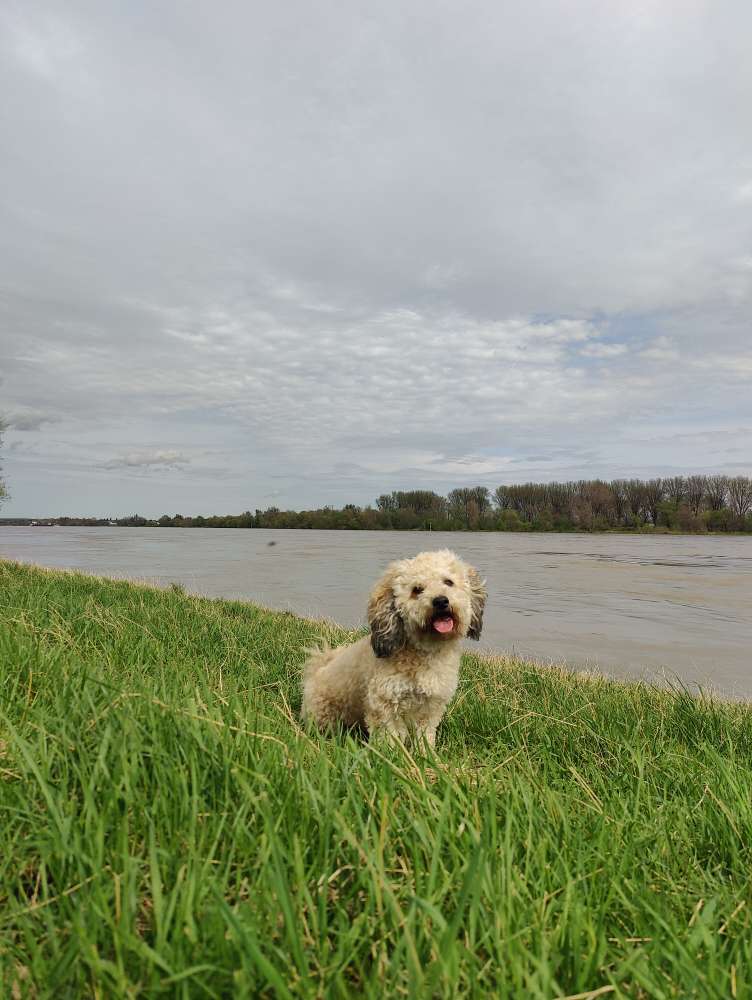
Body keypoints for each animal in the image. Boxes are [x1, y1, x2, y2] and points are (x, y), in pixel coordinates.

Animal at [302, 552, 488, 748]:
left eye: (448, 582)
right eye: (417, 590)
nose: (440, 601)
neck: (423, 653)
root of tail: (316, 671)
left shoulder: (431, 707)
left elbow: (425, 735)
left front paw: (426, 753)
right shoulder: (384, 704)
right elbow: (389, 737)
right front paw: (391, 754)